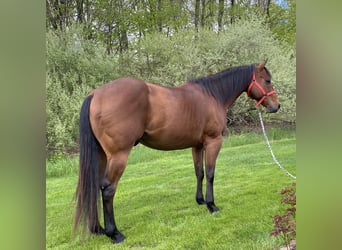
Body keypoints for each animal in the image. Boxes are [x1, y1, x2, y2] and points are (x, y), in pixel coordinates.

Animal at [73, 59, 280, 243]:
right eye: (267, 80)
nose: (276, 106)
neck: (213, 95)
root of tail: (95, 95)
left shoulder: (197, 145)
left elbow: (199, 173)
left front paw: (200, 200)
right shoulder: (213, 142)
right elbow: (210, 173)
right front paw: (212, 205)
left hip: (101, 155)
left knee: (94, 186)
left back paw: (98, 229)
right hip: (118, 156)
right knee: (108, 189)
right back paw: (114, 233)